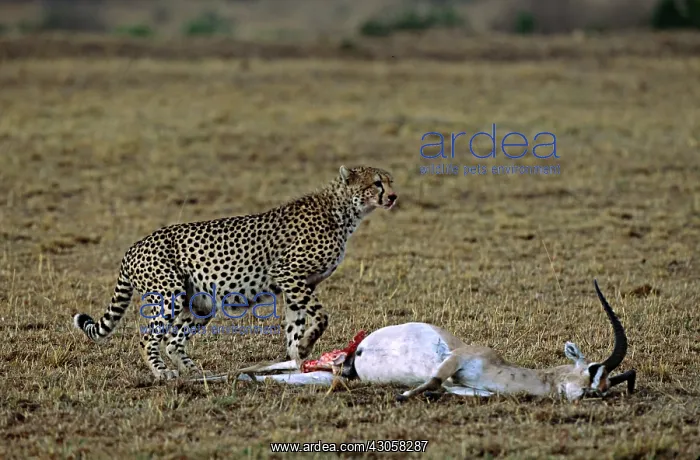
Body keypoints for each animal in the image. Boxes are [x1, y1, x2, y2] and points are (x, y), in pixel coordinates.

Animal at [72, 165, 398, 380]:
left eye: (390, 182)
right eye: (377, 183)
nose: (393, 197)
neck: (343, 211)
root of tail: (132, 247)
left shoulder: (298, 284)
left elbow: (295, 325)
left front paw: (297, 359)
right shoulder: (289, 273)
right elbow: (320, 316)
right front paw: (305, 347)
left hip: (201, 304)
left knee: (173, 339)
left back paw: (192, 371)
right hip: (168, 294)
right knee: (148, 338)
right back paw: (163, 372)